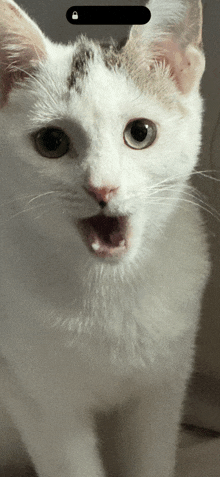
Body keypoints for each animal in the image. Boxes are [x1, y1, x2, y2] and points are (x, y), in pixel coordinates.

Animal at [0, 0, 210, 474]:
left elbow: (150, 455)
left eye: (140, 133)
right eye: (51, 141)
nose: (102, 188)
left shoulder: (162, 386)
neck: (110, 286)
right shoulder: (38, 398)